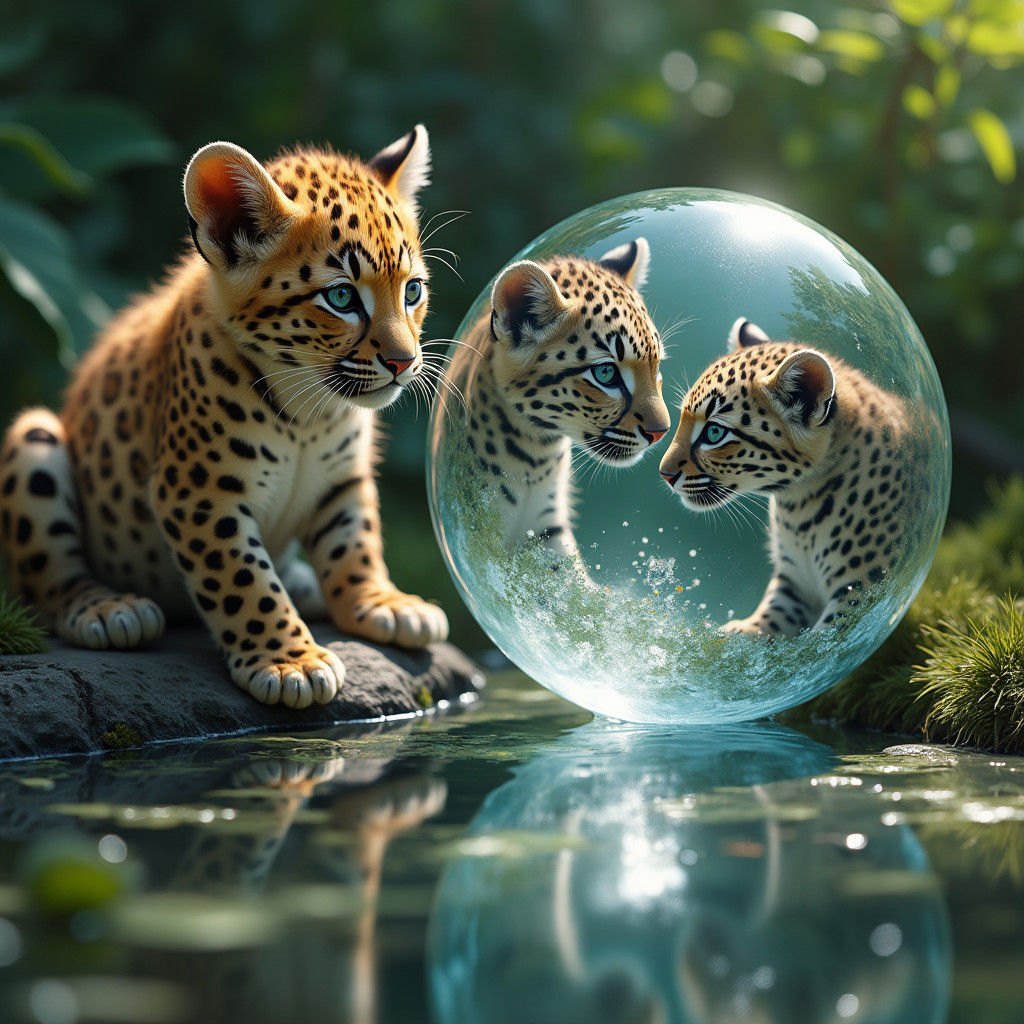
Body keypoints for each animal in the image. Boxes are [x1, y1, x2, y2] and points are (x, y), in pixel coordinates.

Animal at [0, 125, 449, 708]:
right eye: (342, 297)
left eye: (412, 290)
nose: (404, 362)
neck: (312, 413)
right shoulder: (198, 491)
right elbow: (242, 578)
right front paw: (290, 662)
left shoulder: (342, 479)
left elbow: (356, 540)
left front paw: (383, 603)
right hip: (34, 438)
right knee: (46, 581)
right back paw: (109, 610)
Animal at [439, 239, 671, 563]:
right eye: (605, 373)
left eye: (656, 366)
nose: (661, 432)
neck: (537, 457)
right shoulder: (476, 530)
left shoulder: (546, 531)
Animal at [659, 317, 917, 636]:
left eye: (715, 432)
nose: (664, 474)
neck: (798, 506)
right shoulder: (792, 586)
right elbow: (764, 628)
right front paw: (729, 634)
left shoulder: (861, 591)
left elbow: (821, 642)